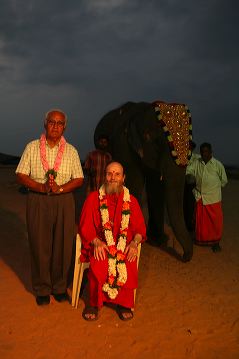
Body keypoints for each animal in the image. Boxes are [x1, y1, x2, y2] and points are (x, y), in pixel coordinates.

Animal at [94, 100, 193, 262]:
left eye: (192, 146)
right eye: (157, 142)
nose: (184, 257)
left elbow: (156, 186)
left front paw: (156, 241)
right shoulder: (125, 146)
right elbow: (135, 181)